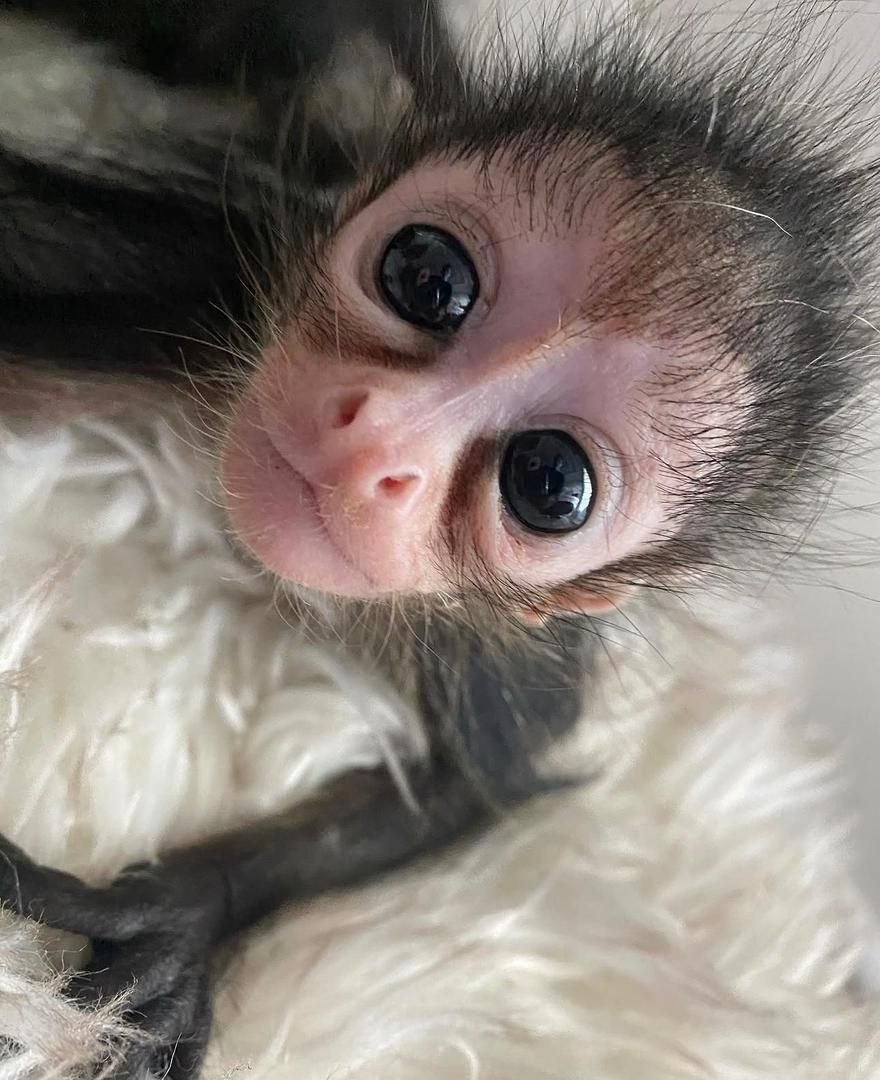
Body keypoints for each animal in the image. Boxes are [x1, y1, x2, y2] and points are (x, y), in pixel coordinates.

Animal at [0, 1, 875, 1076]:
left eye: (548, 482)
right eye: (427, 276)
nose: (377, 435)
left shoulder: (513, 646)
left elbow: (485, 776)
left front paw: (185, 909)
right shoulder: (186, 285)